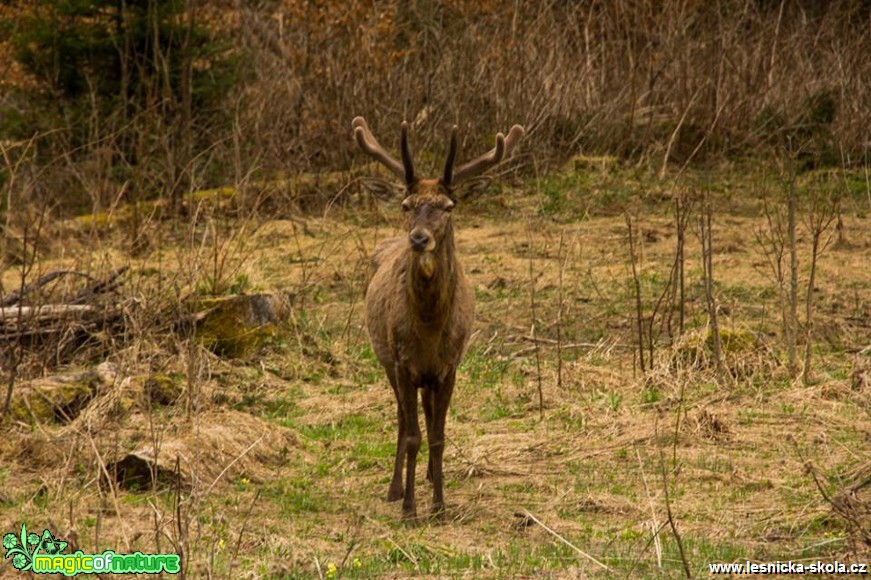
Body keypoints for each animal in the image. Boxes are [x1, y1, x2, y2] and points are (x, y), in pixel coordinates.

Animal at [350, 115, 524, 520]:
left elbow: (439, 436)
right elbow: (413, 434)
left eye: (448, 206)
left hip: (429, 376)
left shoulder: (449, 365)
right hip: (385, 359)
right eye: (406, 204)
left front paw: (440, 505)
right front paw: (410, 509)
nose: (419, 238)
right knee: (403, 420)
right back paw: (396, 488)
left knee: (429, 417)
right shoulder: (402, 362)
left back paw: (431, 477)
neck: (429, 329)